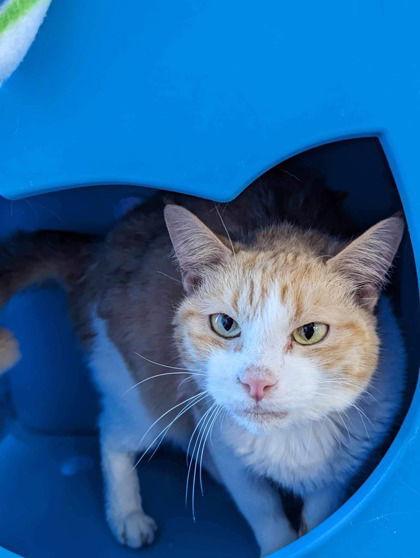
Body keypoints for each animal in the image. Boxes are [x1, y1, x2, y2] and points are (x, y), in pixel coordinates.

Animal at [0, 173, 406, 556]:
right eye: (225, 324)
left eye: (309, 332)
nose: (256, 382)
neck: (289, 440)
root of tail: (100, 248)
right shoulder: (224, 444)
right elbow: (263, 510)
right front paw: (281, 544)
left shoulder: (340, 470)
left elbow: (322, 514)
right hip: (147, 404)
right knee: (111, 433)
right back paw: (127, 514)